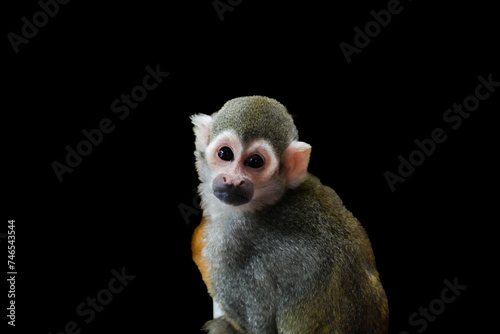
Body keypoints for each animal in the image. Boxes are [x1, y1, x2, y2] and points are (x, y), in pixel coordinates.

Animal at [189, 95, 388, 332]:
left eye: (255, 161)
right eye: (225, 154)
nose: (233, 180)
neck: (267, 204)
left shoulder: (233, 245)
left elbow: (260, 328)